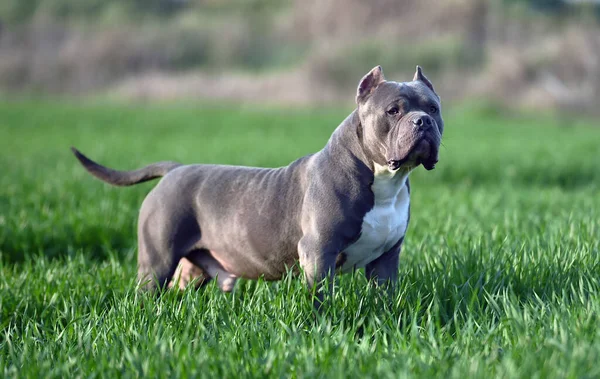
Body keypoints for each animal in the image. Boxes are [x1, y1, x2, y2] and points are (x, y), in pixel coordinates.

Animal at [72, 65, 442, 302]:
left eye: (434, 108)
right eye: (393, 110)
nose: (423, 122)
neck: (385, 181)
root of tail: (175, 170)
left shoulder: (386, 261)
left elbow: (385, 299)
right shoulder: (318, 254)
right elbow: (320, 299)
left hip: (192, 269)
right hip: (157, 260)